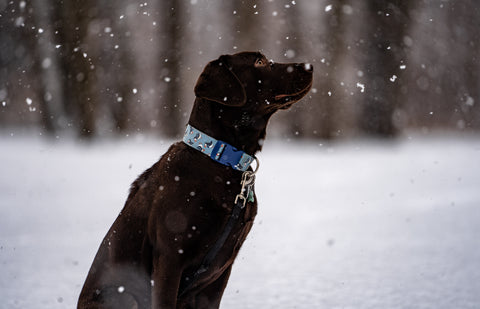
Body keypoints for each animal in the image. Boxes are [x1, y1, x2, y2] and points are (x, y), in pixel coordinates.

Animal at [78, 51, 312, 306]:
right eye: (259, 62)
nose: (309, 65)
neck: (220, 159)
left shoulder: (221, 271)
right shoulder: (170, 258)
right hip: (122, 296)